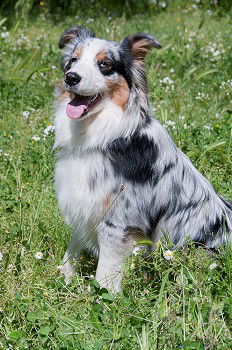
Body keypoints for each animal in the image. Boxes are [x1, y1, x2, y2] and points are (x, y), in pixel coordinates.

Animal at [53, 25, 232, 292]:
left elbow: (105, 272)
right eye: (73, 60)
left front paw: (102, 298)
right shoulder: (85, 201)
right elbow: (72, 248)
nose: (71, 78)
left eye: (104, 64)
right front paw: (63, 279)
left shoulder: (117, 222)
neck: (103, 134)